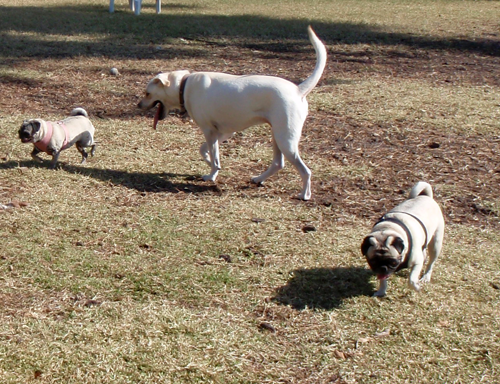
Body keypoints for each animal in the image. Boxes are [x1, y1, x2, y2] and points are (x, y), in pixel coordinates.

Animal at [139, 26, 328, 201]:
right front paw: (212, 167)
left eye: (147, 93)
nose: (139, 105)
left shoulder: (209, 131)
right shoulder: (222, 132)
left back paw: (304, 194)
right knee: (277, 163)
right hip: (277, 136)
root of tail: (298, 90)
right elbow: (205, 151)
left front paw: (211, 174)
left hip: (286, 140)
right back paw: (258, 179)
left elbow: (213, 155)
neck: (184, 86)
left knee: (305, 171)